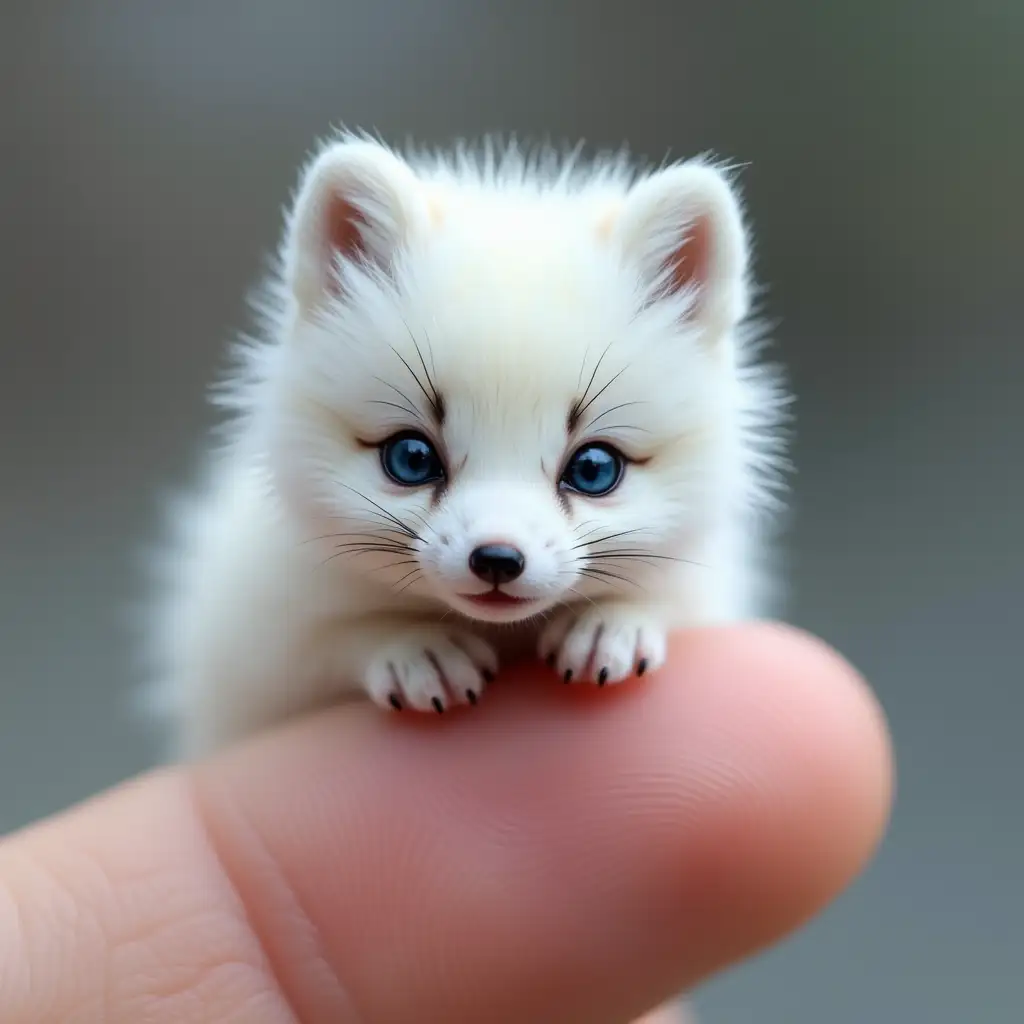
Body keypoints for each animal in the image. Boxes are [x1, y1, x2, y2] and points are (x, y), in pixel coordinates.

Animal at [144, 132, 786, 757]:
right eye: (411, 458)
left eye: (595, 469)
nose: (497, 558)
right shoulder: (249, 639)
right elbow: (329, 640)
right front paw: (417, 648)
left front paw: (611, 625)